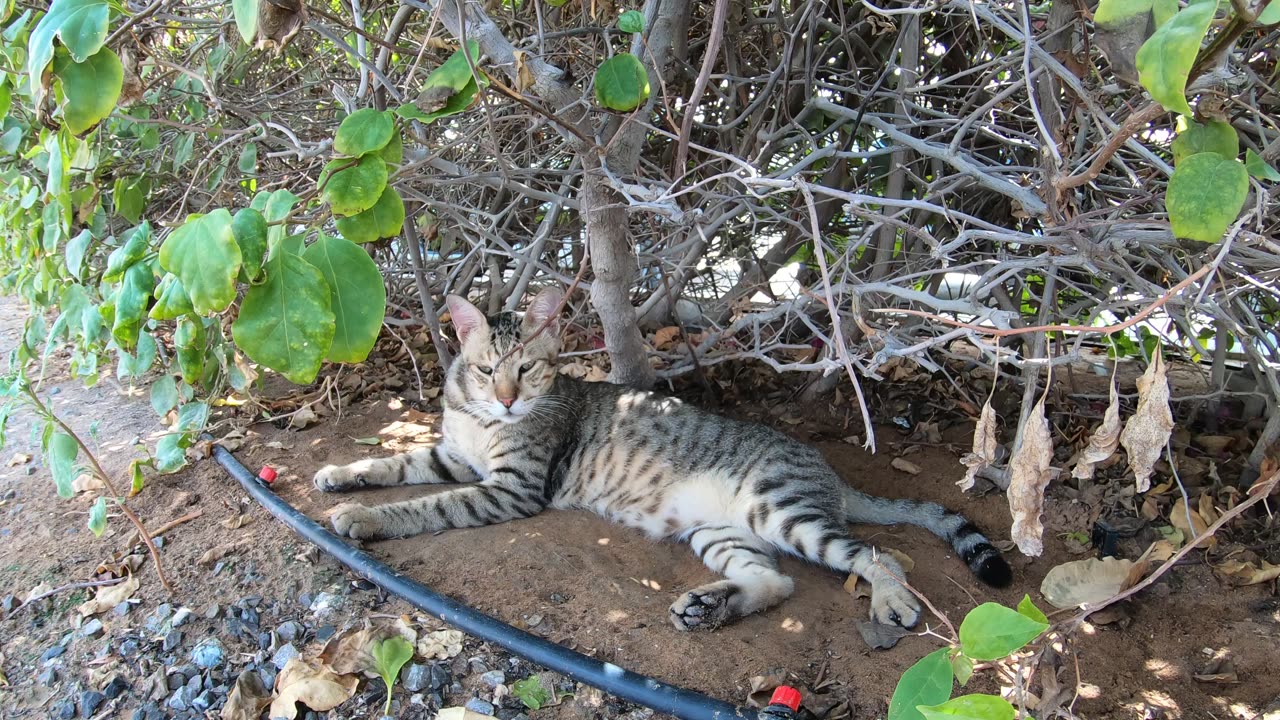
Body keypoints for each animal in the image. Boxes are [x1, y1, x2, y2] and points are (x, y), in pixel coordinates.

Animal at [312, 285, 1008, 627]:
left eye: (528, 369)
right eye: (486, 370)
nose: (508, 400)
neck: (481, 421)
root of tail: (831, 475)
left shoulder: (509, 485)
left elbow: (426, 505)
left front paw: (366, 518)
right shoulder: (456, 457)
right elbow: (394, 464)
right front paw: (343, 476)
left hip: (783, 510)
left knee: (874, 554)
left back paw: (891, 601)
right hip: (719, 531)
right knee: (776, 581)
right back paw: (710, 606)